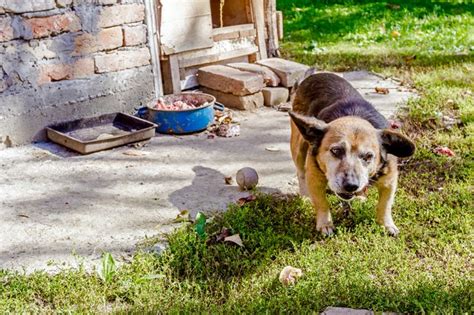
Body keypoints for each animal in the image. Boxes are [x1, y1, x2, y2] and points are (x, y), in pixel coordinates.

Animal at [286, 73, 412, 237]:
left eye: (368, 156)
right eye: (336, 151)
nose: (351, 185)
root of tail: (314, 75)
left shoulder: (389, 181)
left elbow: (385, 204)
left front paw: (386, 224)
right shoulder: (315, 178)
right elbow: (322, 203)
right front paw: (325, 224)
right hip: (298, 148)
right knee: (300, 172)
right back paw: (306, 196)